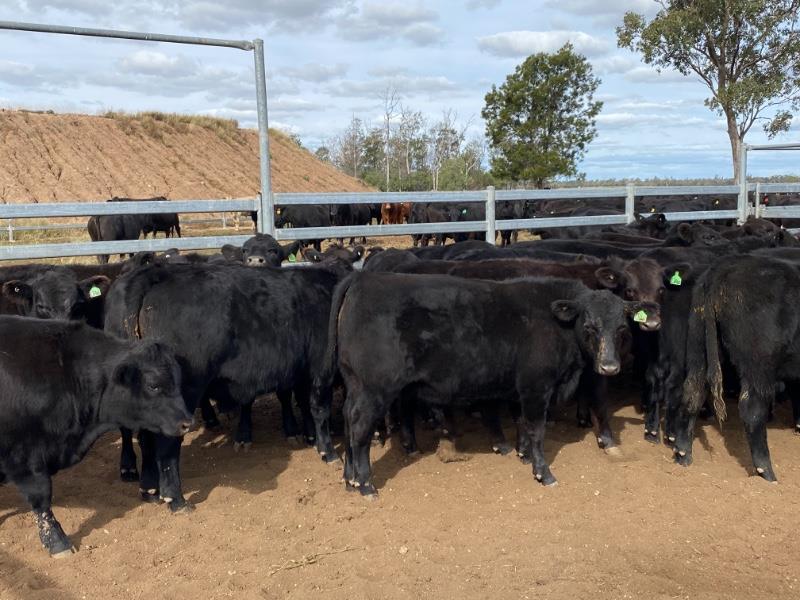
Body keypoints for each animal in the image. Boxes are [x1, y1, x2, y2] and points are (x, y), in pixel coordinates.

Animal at [0, 318, 192, 556]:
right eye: (153, 385)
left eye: (178, 381)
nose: (187, 422)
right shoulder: (25, 455)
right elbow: (41, 497)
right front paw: (57, 542)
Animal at [324, 274, 648, 496]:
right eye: (590, 326)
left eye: (621, 328)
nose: (609, 367)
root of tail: (363, 279)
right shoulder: (536, 387)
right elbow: (537, 429)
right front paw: (543, 473)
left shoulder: (520, 390)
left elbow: (521, 425)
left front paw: (523, 454)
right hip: (374, 390)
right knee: (359, 429)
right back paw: (366, 484)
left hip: (355, 386)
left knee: (348, 422)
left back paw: (350, 479)